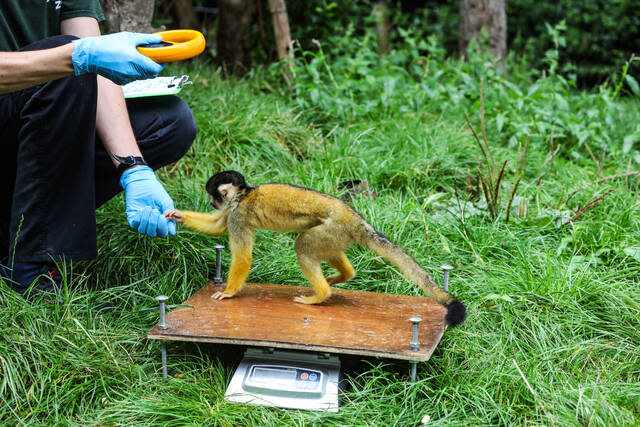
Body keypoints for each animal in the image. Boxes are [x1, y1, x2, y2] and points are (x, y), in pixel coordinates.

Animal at [165, 171, 464, 328]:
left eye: (213, 195)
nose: (212, 202)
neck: (244, 195)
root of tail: (356, 218)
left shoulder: (238, 214)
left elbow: (243, 254)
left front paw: (228, 292)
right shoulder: (232, 211)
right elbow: (218, 227)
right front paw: (177, 215)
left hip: (334, 228)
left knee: (304, 247)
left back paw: (320, 295)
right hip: (338, 234)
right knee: (321, 249)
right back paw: (344, 275)